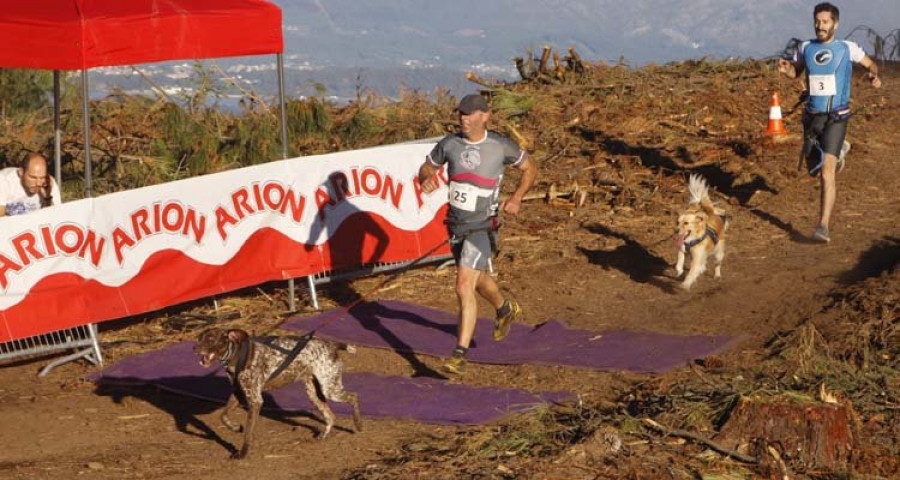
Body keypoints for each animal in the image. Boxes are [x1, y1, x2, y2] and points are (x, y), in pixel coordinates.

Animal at [195, 328, 364, 460]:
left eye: (211, 338)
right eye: (199, 338)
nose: (194, 349)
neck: (238, 356)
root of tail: (331, 344)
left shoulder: (255, 400)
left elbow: (248, 434)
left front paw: (242, 454)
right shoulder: (239, 394)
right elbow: (222, 416)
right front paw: (235, 427)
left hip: (330, 390)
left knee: (354, 396)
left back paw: (358, 425)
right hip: (314, 393)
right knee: (331, 416)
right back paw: (324, 435)